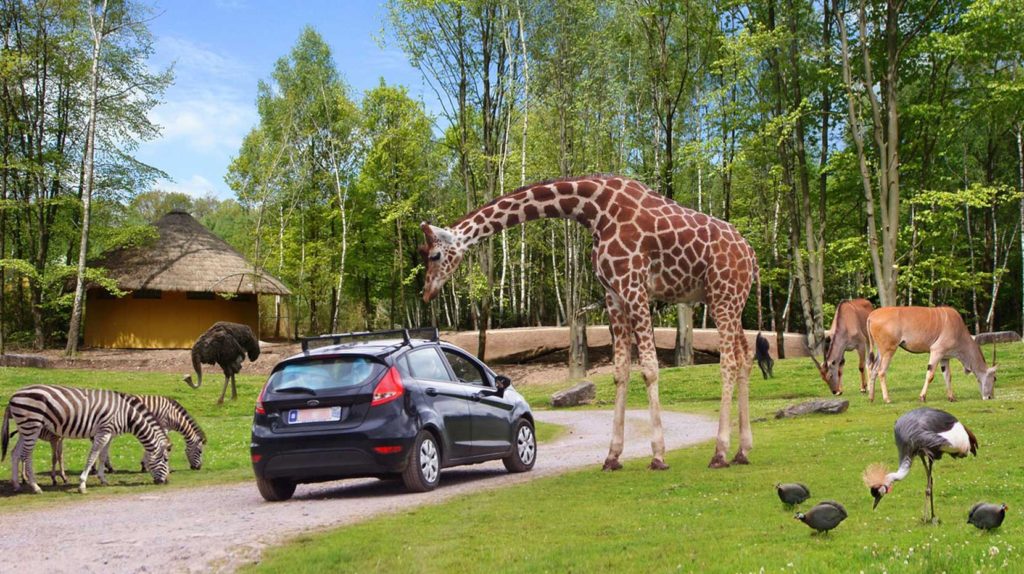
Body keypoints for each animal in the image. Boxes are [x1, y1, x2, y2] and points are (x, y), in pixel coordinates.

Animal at [2, 384, 169, 493]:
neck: (126, 415)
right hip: (32, 426)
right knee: (26, 455)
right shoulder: (103, 432)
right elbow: (92, 456)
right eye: (166, 460)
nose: (167, 482)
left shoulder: (109, 434)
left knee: (15, 453)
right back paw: (35, 487)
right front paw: (82, 485)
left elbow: (102, 456)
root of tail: (14, 395)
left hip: (25, 429)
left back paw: (16, 485)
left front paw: (103, 479)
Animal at [417, 175, 761, 470]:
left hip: (723, 294)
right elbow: (621, 371)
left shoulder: (634, 287)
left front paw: (658, 456)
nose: (426, 293)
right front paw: (612, 456)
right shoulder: (614, 295)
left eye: (435, 255)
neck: (594, 211)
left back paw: (720, 453)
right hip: (730, 300)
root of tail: (751, 255)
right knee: (746, 355)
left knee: (728, 361)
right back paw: (743, 451)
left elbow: (650, 368)